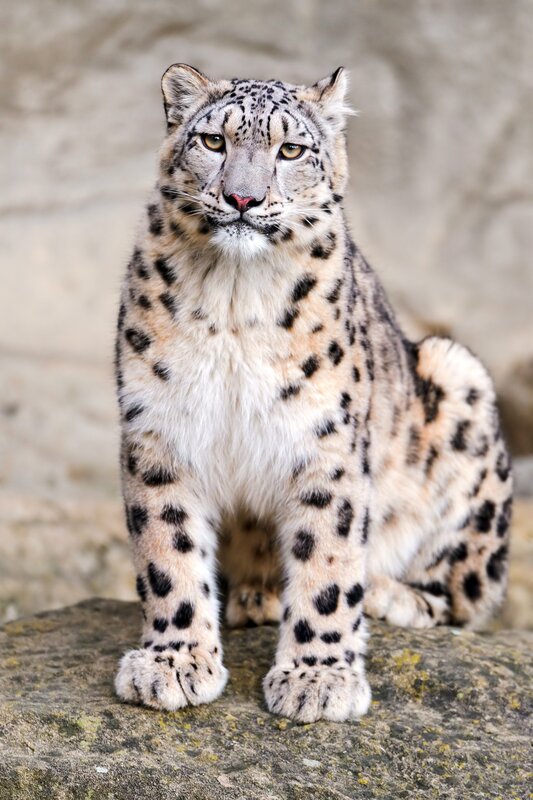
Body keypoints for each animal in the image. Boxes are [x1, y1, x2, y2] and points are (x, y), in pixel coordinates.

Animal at [113, 63, 512, 723]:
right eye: (213, 142)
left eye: (291, 150)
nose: (243, 198)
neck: (234, 297)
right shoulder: (159, 430)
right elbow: (168, 553)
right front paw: (172, 662)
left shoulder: (325, 440)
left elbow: (328, 560)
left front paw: (317, 678)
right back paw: (253, 595)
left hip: (461, 383)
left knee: (466, 593)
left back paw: (387, 594)